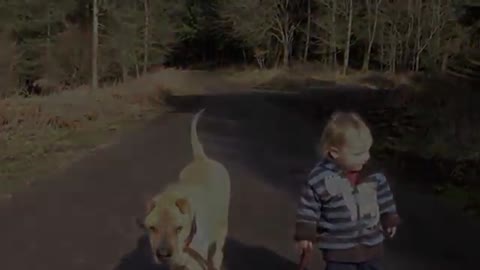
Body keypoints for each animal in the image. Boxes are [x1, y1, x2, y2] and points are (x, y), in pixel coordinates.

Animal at [142, 109, 231, 270]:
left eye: (178, 228)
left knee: (217, 251)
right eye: (152, 228)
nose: (163, 254)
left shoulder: (195, 263)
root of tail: (202, 158)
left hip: (221, 227)